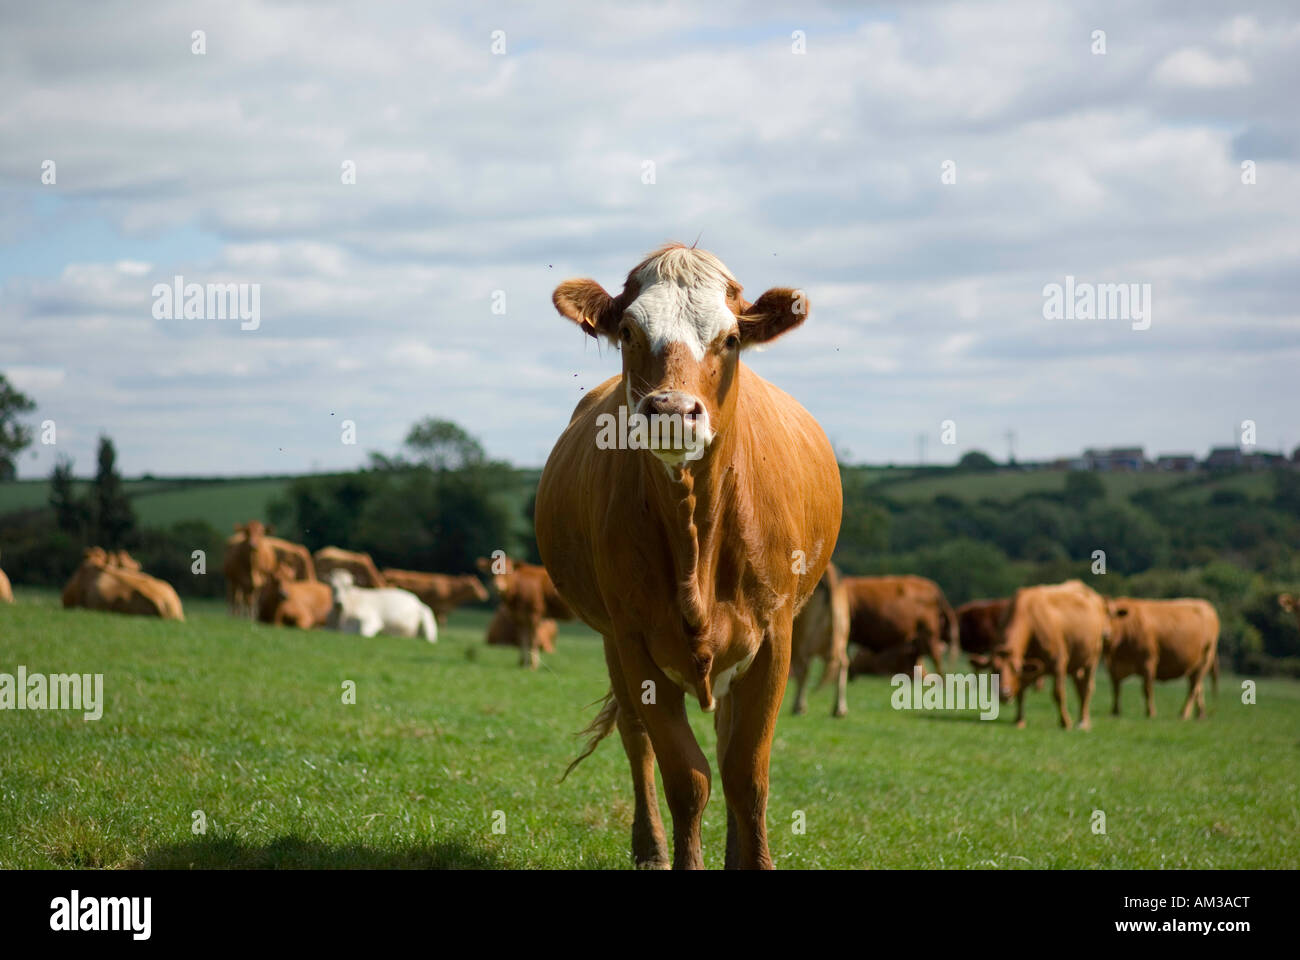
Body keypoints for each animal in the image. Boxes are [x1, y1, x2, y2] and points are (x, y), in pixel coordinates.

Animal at [785, 561, 847, 712]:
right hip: (841, 635)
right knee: (842, 663)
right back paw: (839, 709)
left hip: (800, 639)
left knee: (803, 669)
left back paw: (799, 706)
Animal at [972, 574, 1112, 723]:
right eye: (994, 669)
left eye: (1015, 669)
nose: (1004, 692)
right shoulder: (1028, 666)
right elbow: (1021, 691)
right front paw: (1019, 720)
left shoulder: (1058, 662)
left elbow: (1058, 693)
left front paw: (1065, 722)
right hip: (1077, 662)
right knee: (1079, 688)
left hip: (1092, 658)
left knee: (1087, 688)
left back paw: (1083, 722)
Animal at [1107, 595, 1216, 723]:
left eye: (1112, 616)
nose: (1105, 634)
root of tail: (1206, 605)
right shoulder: (1113, 666)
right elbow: (1116, 689)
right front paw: (1115, 712)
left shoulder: (1149, 661)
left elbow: (1147, 689)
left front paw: (1151, 713)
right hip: (1194, 664)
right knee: (1198, 687)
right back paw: (1200, 714)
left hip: (1206, 658)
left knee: (1193, 688)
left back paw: (1184, 714)